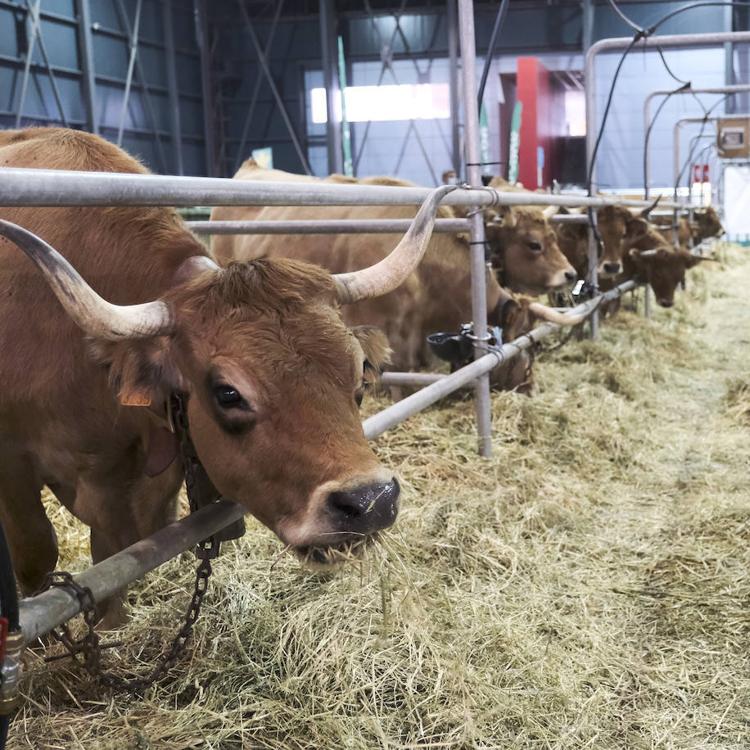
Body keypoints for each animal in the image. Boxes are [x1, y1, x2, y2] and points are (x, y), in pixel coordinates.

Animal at [0, 128, 446, 624]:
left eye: (359, 376)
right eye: (228, 393)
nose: (371, 503)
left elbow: (109, 572)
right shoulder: (12, 467)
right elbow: (38, 556)